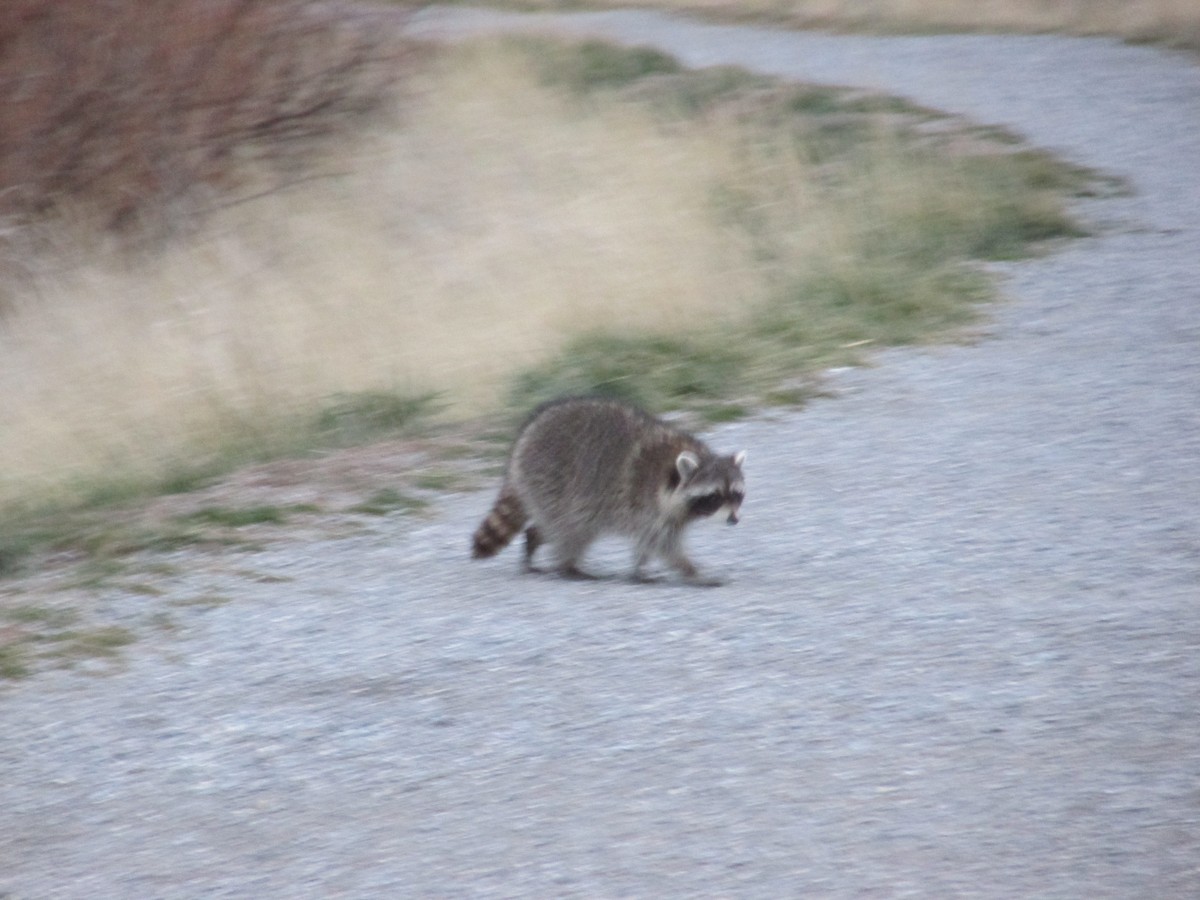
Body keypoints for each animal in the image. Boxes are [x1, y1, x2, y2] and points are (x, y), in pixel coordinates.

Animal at [471, 396, 745, 586]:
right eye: (715, 497)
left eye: (736, 495)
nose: (733, 519)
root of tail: (522, 441)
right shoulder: (645, 502)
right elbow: (661, 543)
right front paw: (692, 571)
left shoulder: (665, 512)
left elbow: (648, 542)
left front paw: (640, 568)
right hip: (553, 482)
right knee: (571, 529)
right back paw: (567, 565)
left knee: (558, 528)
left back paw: (535, 539)